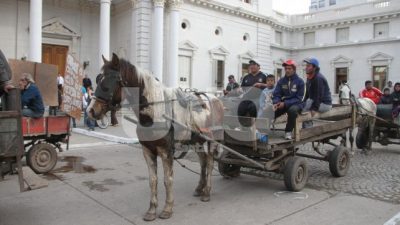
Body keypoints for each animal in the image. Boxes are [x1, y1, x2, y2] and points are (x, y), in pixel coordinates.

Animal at [88, 53, 225, 221]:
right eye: (98, 79)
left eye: (109, 82)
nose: (91, 110)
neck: (156, 111)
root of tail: (216, 99)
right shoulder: (147, 151)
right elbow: (153, 181)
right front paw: (152, 210)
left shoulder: (166, 151)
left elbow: (168, 180)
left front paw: (167, 208)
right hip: (197, 141)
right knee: (203, 162)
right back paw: (200, 188)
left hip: (212, 140)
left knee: (210, 163)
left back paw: (207, 192)